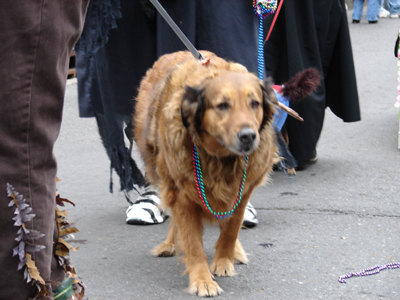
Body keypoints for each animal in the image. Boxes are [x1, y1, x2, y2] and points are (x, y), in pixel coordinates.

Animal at [134, 50, 296, 296]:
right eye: (222, 105)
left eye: (254, 103)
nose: (248, 136)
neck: (221, 159)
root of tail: (175, 52)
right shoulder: (182, 194)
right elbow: (193, 242)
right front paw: (202, 280)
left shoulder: (242, 192)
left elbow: (231, 229)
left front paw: (223, 260)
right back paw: (170, 244)